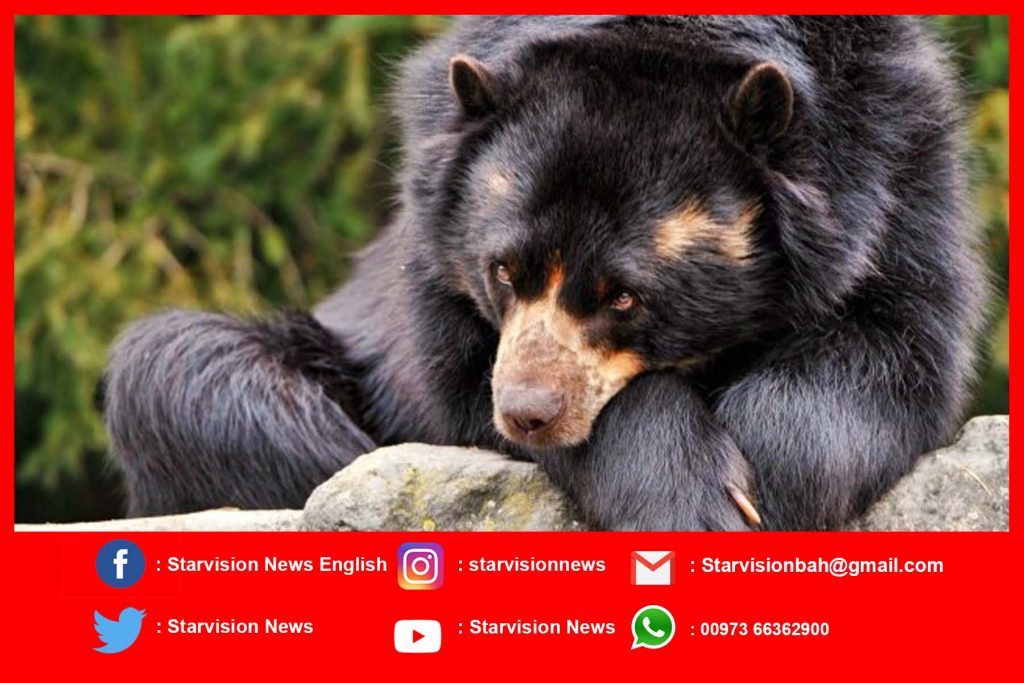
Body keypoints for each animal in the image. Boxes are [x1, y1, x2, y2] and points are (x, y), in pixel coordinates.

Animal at [104, 15, 985, 530]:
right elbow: (458, 379)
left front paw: (763, 489)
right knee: (184, 374)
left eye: (626, 295)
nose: (526, 411)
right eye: (503, 269)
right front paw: (688, 505)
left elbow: (890, 350)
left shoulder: (898, 178)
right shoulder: (434, 251)